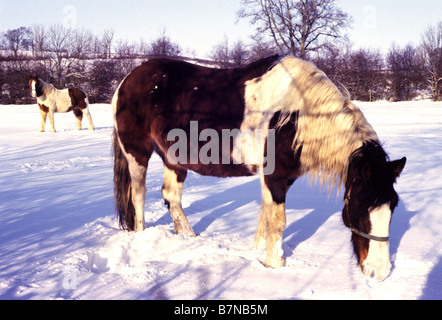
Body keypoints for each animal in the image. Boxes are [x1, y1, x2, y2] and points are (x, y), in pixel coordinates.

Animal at [112, 56, 406, 282]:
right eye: (361, 207)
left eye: (392, 206)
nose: (380, 272)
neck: (295, 116)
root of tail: (127, 80)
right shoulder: (275, 178)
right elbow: (277, 222)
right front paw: (274, 264)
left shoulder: (277, 179)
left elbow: (265, 219)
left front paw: (260, 255)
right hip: (137, 154)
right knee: (138, 195)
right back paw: (141, 235)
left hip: (174, 159)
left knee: (171, 196)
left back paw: (188, 237)